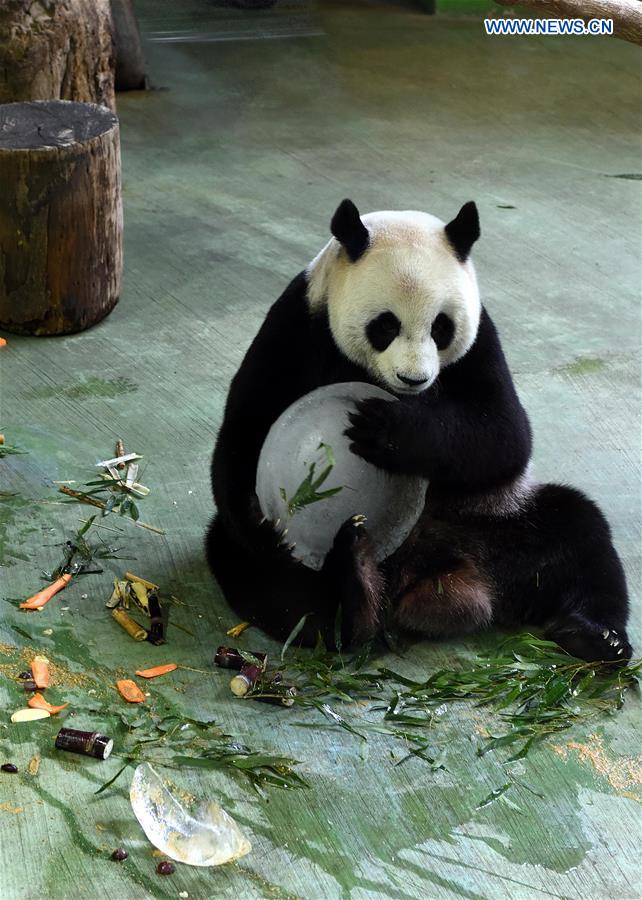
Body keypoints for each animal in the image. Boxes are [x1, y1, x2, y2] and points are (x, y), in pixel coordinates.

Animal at [206, 199, 632, 660]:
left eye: (441, 327)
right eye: (386, 325)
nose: (415, 379)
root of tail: (438, 580)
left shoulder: (481, 338)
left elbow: (503, 433)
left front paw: (385, 427)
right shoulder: (299, 322)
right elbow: (247, 423)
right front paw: (264, 522)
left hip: (498, 516)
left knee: (579, 534)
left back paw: (597, 636)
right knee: (267, 578)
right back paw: (353, 598)